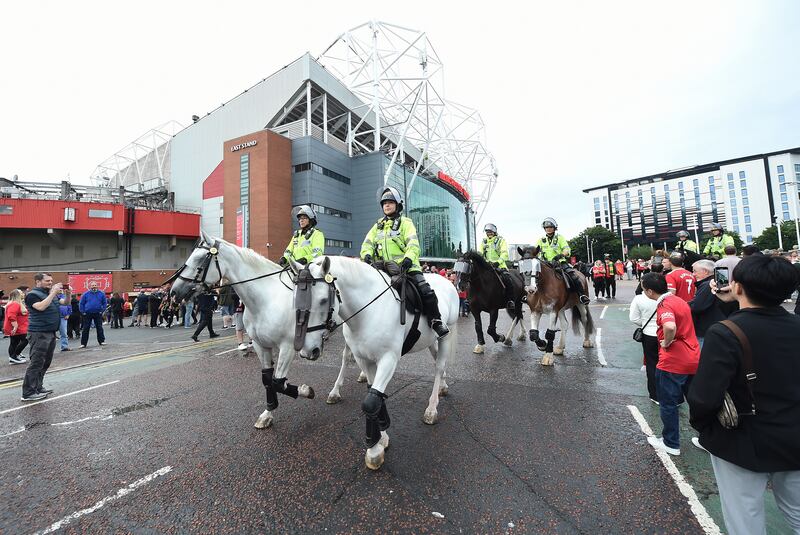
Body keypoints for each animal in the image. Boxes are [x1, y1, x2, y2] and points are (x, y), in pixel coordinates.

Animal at [294, 258, 460, 472]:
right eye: (294, 298)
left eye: (323, 300)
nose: (307, 351)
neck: (368, 311)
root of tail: (447, 281)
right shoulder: (364, 359)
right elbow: (374, 394)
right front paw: (381, 437)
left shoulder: (388, 359)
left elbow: (370, 402)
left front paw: (373, 452)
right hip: (431, 340)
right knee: (439, 360)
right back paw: (444, 387)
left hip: (446, 333)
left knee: (439, 366)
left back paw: (431, 409)